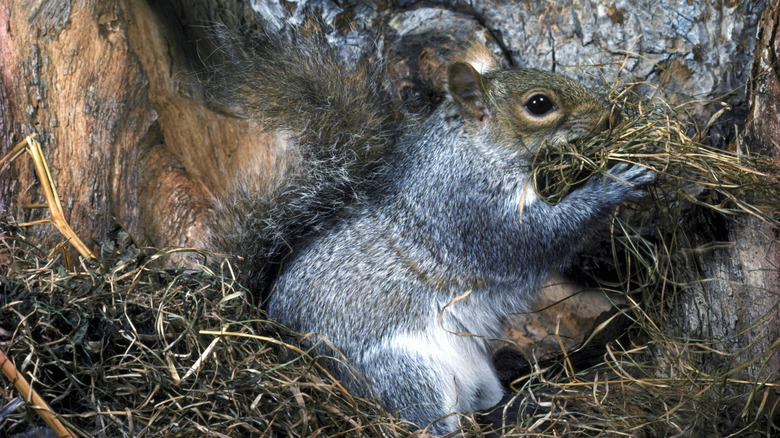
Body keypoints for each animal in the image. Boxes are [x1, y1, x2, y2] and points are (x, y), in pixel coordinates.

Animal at [204, 17, 656, 434]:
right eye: (539, 103)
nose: (607, 115)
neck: (472, 149)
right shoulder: (470, 210)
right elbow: (538, 237)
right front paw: (614, 185)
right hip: (407, 374)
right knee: (430, 423)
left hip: (471, 372)